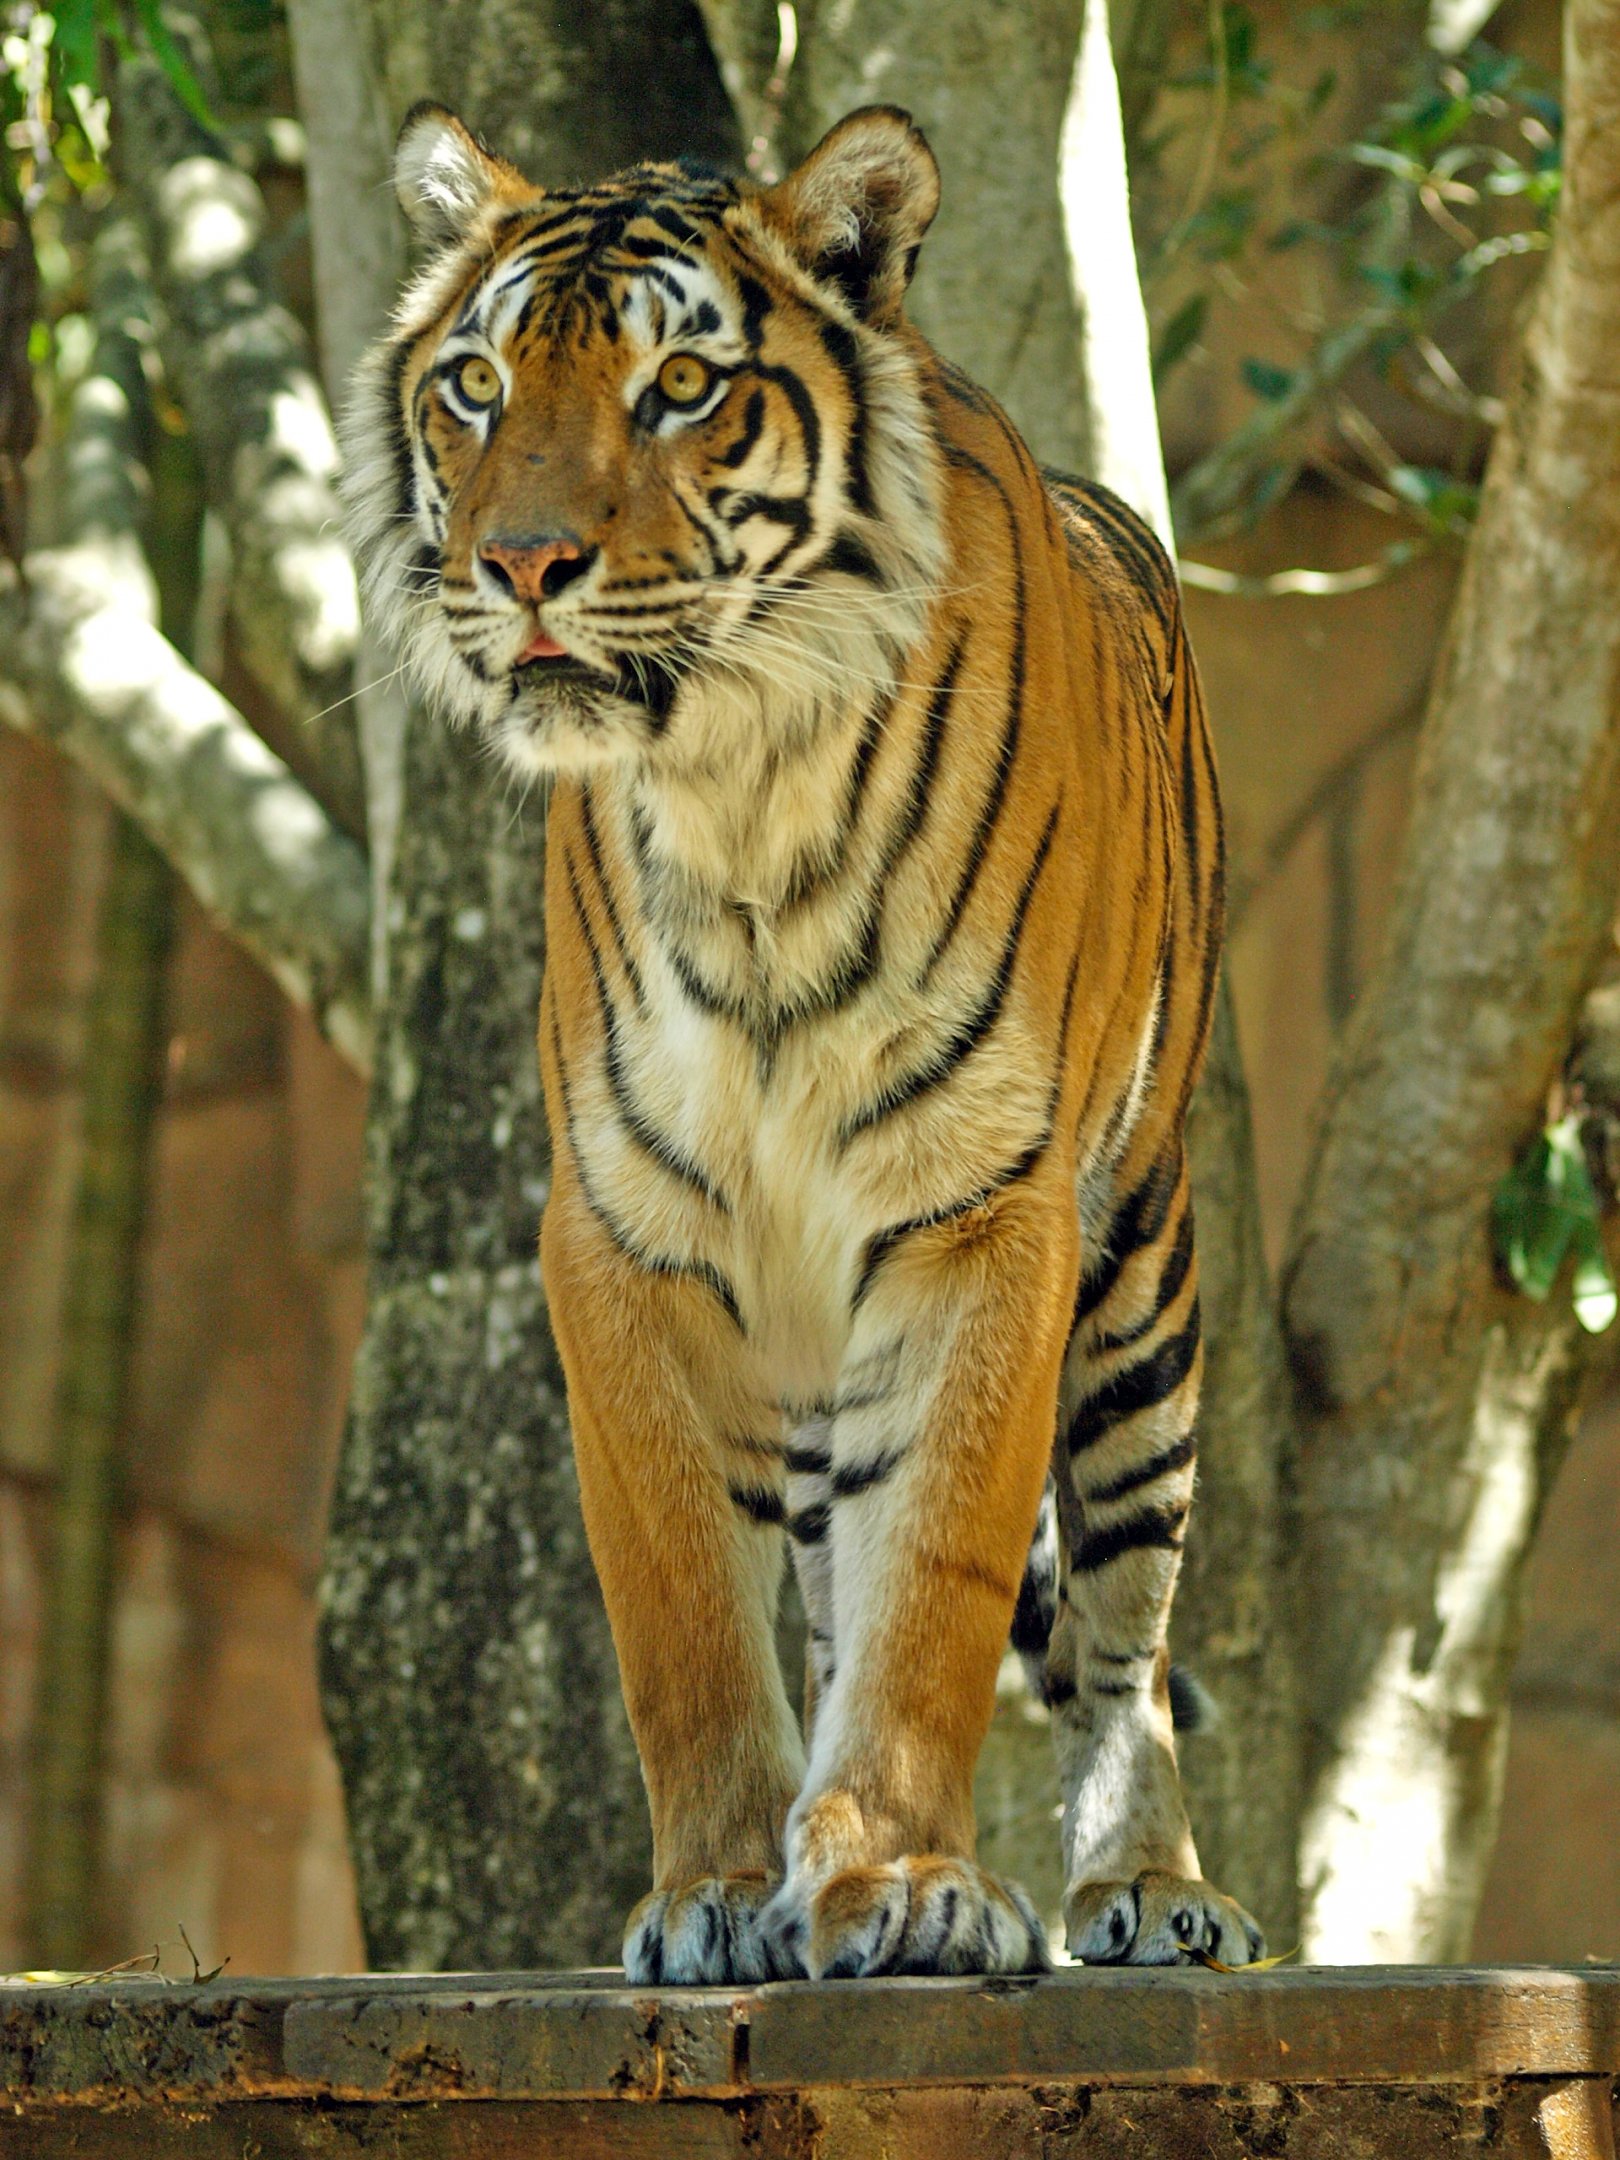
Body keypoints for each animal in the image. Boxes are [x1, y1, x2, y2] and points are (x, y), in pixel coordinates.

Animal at [342, 97, 1266, 1983]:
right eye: (476, 385)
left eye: (680, 388)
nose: (518, 566)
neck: (738, 792)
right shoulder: (620, 1229)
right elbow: (685, 1614)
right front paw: (714, 1892)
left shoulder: (987, 1212)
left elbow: (942, 1585)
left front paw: (901, 1882)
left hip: (1143, 1283)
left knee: (1122, 1631)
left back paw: (1147, 1884)